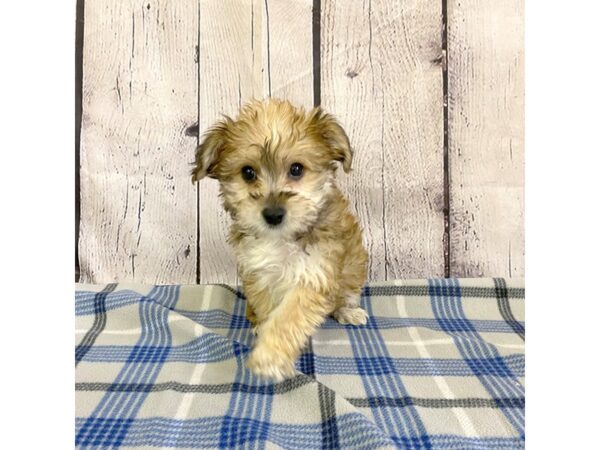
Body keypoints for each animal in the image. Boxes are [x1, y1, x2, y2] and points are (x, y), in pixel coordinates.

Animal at [195, 98, 368, 380]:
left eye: (296, 169)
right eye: (248, 173)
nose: (273, 214)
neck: (281, 241)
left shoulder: (314, 274)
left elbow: (288, 318)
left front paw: (270, 357)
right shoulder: (259, 274)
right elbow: (270, 310)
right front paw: (266, 336)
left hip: (354, 271)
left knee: (345, 295)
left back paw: (348, 310)